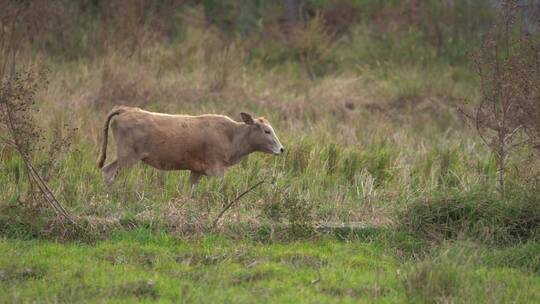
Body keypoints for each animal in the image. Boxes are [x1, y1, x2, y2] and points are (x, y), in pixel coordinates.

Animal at [97, 105, 284, 189]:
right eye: (267, 131)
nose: (281, 149)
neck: (231, 136)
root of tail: (126, 110)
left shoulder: (196, 171)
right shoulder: (217, 169)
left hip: (123, 156)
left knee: (106, 171)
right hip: (127, 157)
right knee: (110, 173)